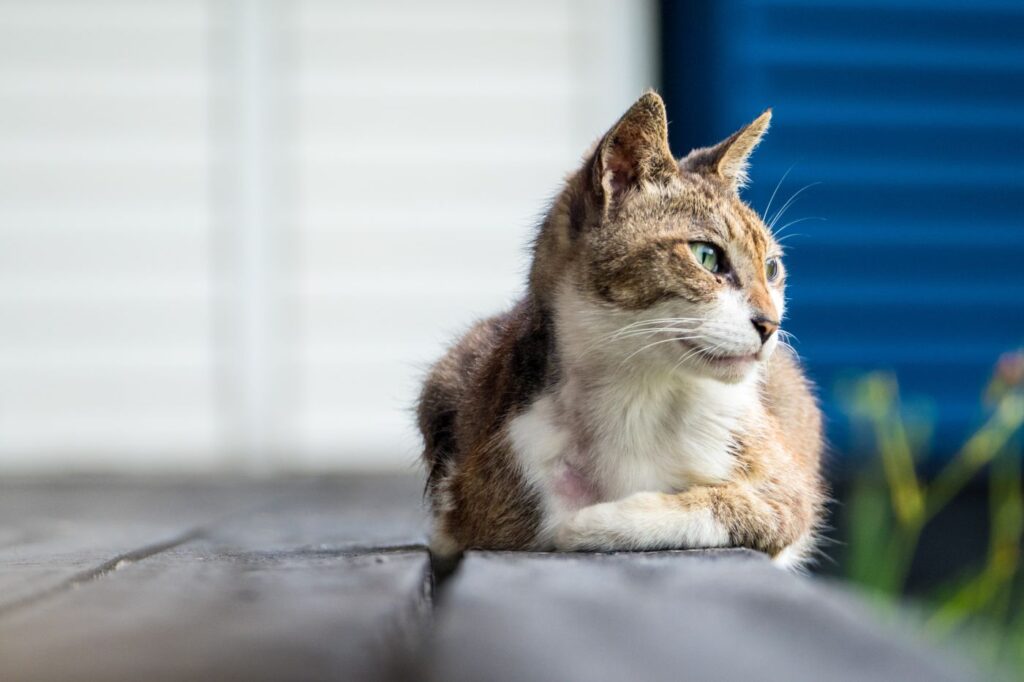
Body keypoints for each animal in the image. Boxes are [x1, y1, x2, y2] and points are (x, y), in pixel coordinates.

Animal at [415, 91, 823, 569]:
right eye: (706, 256)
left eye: (772, 268)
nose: (770, 324)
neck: (639, 392)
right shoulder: (491, 489)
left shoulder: (785, 492)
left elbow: (728, 504)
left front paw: (597, 520)